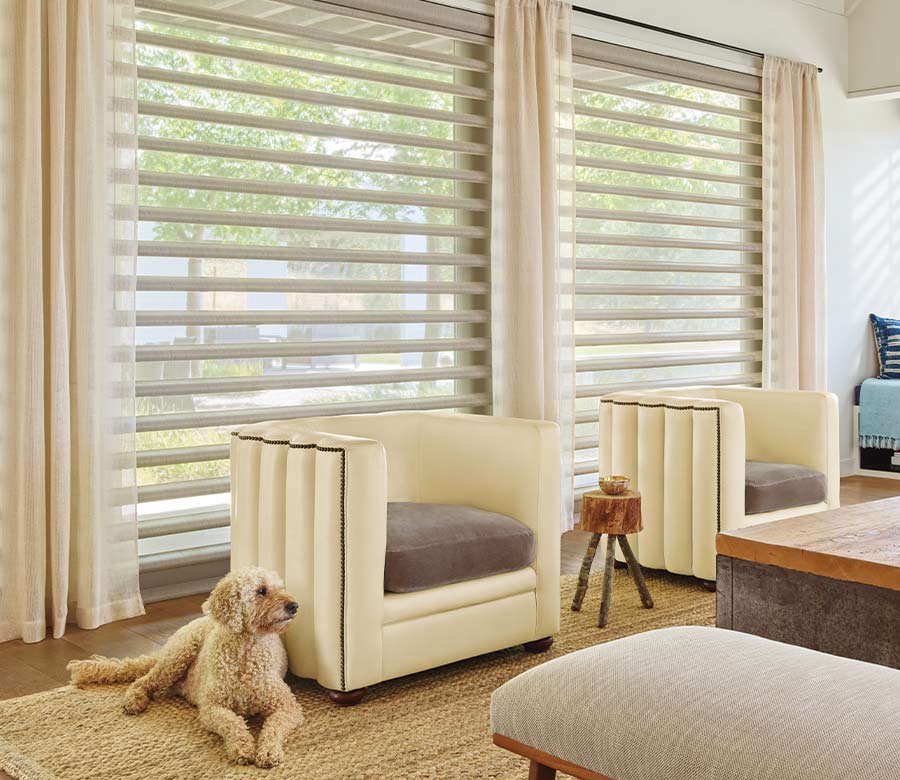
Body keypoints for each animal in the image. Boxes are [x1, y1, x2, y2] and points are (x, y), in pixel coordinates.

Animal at [67, 564, 304, 772]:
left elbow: (274, 727)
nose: (294, 606)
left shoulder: (287, 707)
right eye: (261, 591)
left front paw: (269, 752)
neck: (246, 650)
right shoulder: (212, 708)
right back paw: (134, 700)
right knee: (142, 681)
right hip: (178, 656)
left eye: (281, 587)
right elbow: (232, 723)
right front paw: (242, 747)